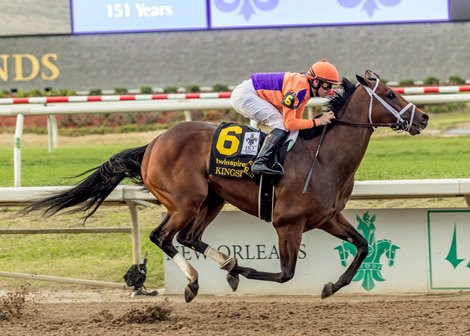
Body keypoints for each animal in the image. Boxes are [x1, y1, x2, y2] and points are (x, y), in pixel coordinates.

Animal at [23, 71, 430, 302]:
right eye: (390, 95)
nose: (423, 117)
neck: (324, 157)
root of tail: (152, 144)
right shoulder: (288, 224)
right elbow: (285, 273)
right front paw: (246, 273)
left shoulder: (328, 217)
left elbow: (363, 246)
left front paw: (331, 286)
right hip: (185, 202)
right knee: (162, 237)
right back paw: (195, 282)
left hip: (212, 200)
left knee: (188, 237)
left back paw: (227, 265)